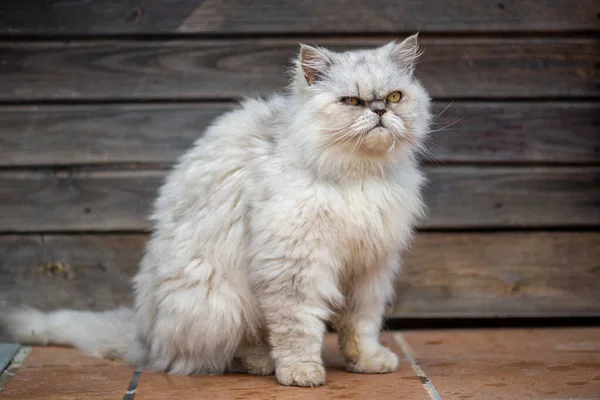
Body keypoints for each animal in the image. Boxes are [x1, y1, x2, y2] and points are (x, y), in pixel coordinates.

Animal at [0, 35, 432, 388]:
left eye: (395, 97)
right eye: (352, 102)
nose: (379, 111)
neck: (359, 176)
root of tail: (143, 335)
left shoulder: (370, 268)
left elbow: (360, 325)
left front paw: (367, 362)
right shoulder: (295, 267)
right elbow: (297, 330)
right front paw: (301, 373)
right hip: (219, 303)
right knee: (220, 354)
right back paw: (264, 364)